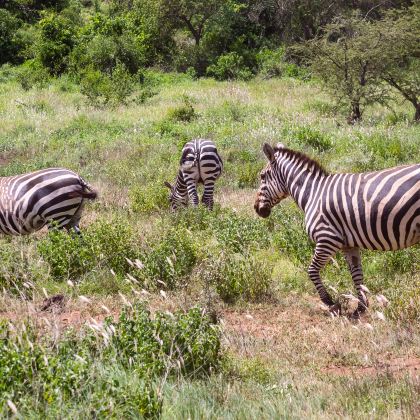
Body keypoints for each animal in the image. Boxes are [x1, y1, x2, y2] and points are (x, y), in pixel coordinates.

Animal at [254, 142, 418, 316]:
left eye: (262, 176)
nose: (256, 208)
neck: (313, 193)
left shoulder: (327, 238)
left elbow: (312, 270)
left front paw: (330, 302)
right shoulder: (349, 245)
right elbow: (357, 274)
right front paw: (361, 306)